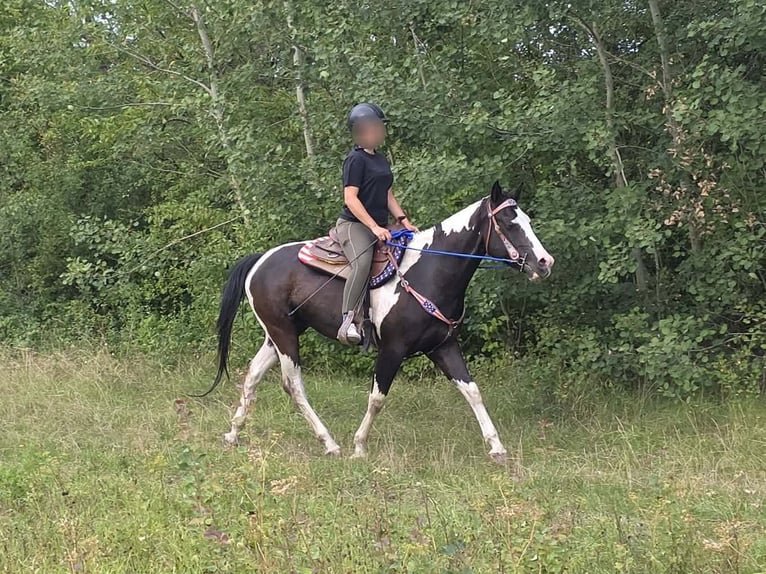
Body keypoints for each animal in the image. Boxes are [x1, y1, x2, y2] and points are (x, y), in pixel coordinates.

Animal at [206, 181, 554, 462]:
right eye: (509, 223)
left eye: (527, 221)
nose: (544, 262)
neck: (430, 271)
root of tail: (260, 260)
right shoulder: (393, 348)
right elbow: (377, 398)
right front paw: (359, 446)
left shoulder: (443, 346)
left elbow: (472, 391)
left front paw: (496, 447)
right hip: (283, 334)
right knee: (293, 384)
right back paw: (330, 443)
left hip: (280, 333)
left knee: (252, 375)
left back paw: (233, 434)